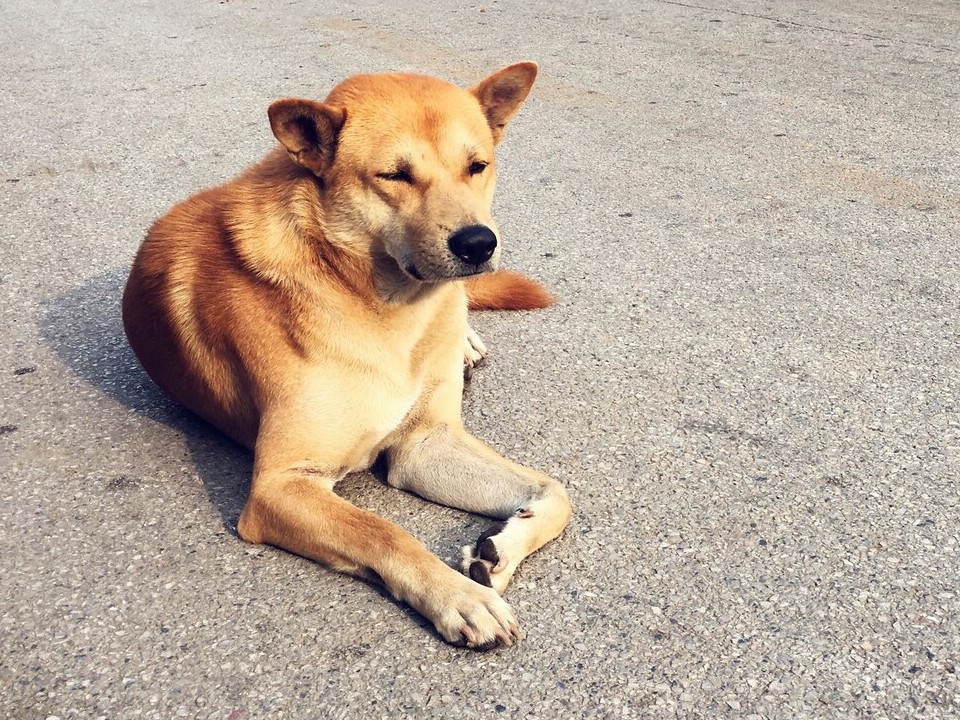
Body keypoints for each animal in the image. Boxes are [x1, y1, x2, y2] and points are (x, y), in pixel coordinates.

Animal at [120, 60, 568, 648]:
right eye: (395, 176)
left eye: (477, 166)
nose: (478, 244)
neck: (386, 310)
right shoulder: (280, 485)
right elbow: (384, 532)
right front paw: (460, 596)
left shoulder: (425, 444)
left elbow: (559, 494)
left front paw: (501, 550)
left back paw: (466, 342)